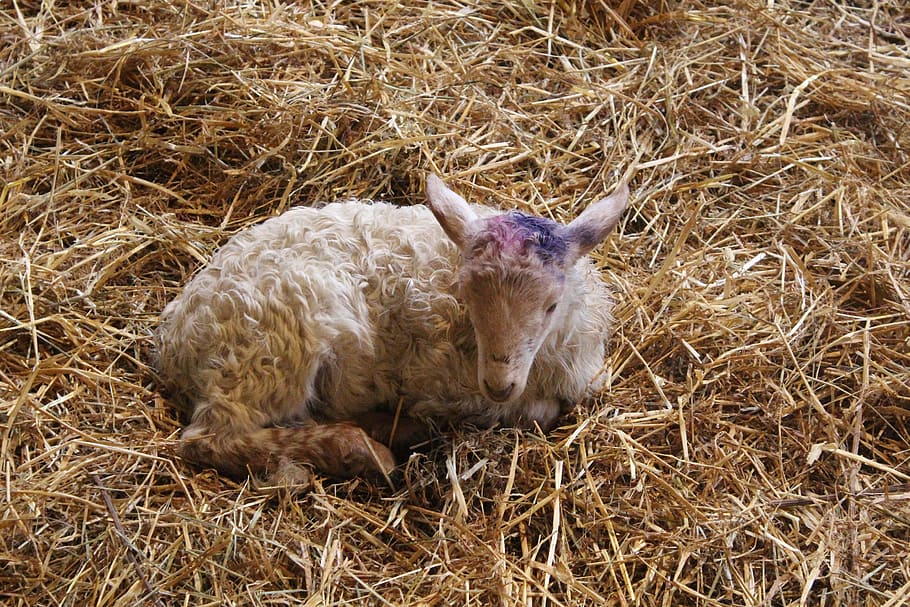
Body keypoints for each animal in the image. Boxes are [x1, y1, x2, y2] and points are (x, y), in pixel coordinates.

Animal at [155, 174, 629, 486]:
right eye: (469, 299)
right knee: (209, 439)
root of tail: (175, 341)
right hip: (270, 348)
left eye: (551, 305)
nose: (499, 383)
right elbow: (540, 412)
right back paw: (364, 451)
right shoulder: (443, 388)